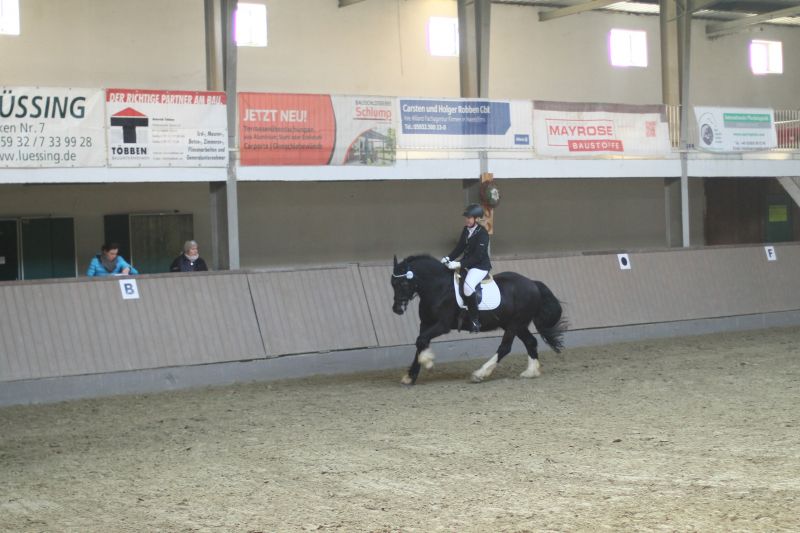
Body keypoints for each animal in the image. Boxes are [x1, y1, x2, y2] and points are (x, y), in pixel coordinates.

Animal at [391, 254, 566, 384]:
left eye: (404, 283)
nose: (397, 309)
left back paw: (480, 374)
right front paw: (410, 376)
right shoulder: (426, 323)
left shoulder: (442, 325)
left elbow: (421, 341)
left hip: (515, 324)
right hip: (515, 324)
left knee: (505, 348)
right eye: (392, 283)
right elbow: (420, 342)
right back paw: (531, 372)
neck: (439, 287)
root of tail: (533, 284)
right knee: (530, 342)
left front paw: (427, 361)